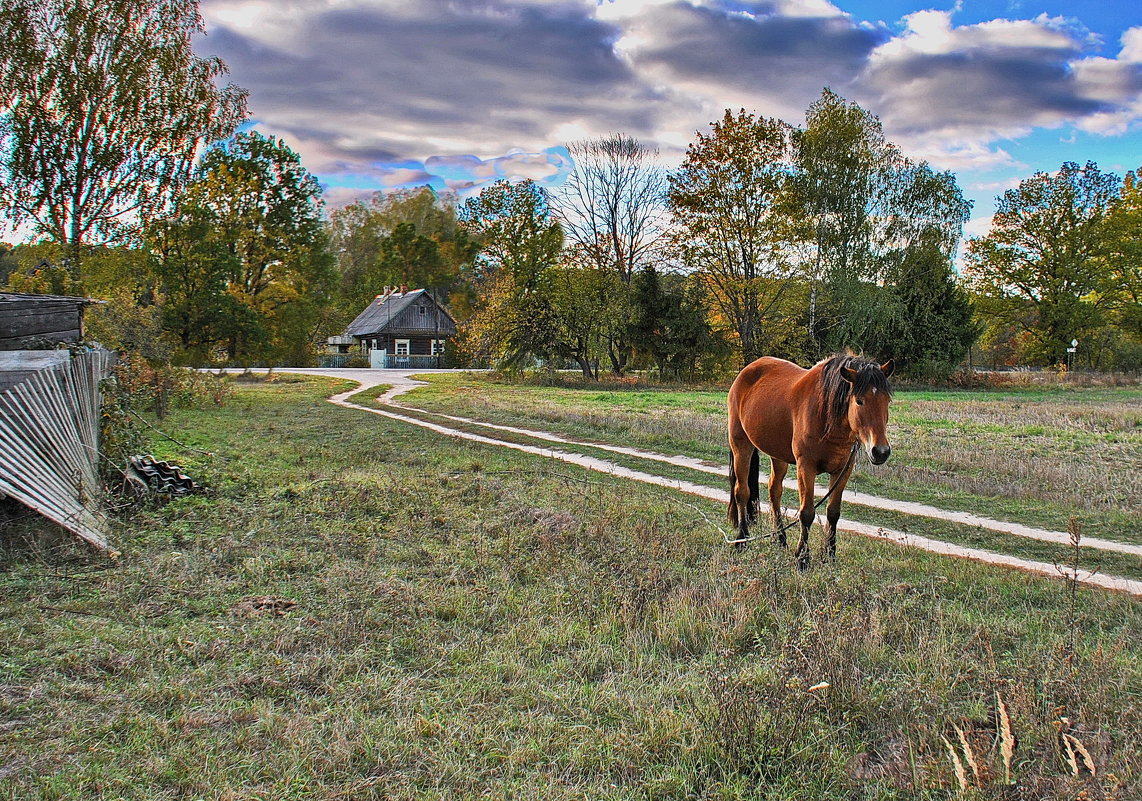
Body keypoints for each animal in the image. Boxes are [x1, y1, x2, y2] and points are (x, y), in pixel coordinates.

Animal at [726, 354, 895, 569]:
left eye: (886, 400)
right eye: (859, 401)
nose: (880, 451)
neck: (826, 417)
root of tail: (747, 370)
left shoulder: (843, 470)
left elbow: (833, 512)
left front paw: (830, 554)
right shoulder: (805, 467)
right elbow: (806, 513)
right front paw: (803, 558)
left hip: (777, 455)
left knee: (774, 491)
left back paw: (780, 539)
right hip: (741, 445)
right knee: (742, 492)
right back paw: (742, 539)